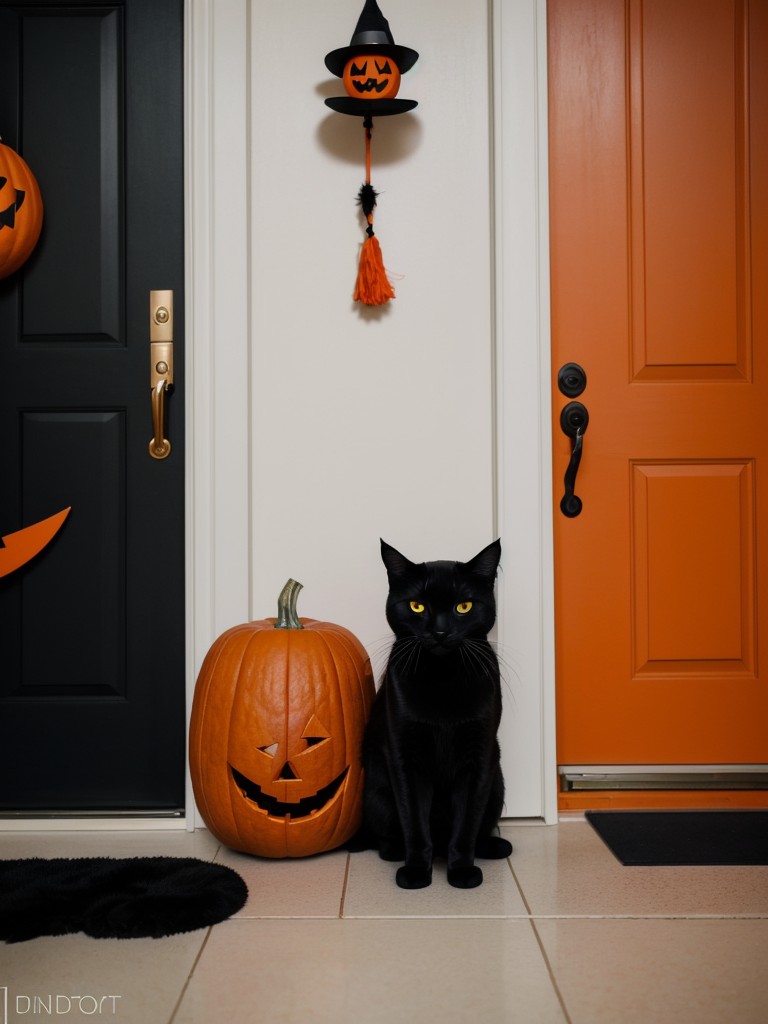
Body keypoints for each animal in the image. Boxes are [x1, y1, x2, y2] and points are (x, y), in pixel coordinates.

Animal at [358, 536, 514, 888]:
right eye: (417, 606)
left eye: (463, 607)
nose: (440, 632)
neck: (443, 676)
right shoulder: (405, 757)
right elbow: (415, 822)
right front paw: (416, 871)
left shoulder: (478, 757)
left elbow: (466, 823)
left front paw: (462, 871)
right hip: (377, 793)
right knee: (386, 836)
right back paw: (395, 852)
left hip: (496, 782)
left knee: (478, 828)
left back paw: (493, 846)